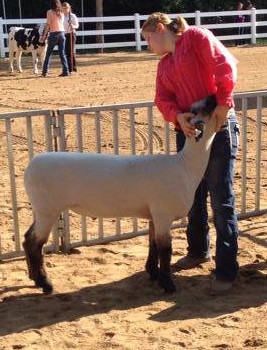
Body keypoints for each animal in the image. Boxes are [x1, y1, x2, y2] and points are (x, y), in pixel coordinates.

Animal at [22, 94, 217, 294]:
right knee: (35, 243)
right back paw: (45, 284)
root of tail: (30, 167)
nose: (213, 97)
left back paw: (35, 279)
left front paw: (153, 273)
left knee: (27, 238)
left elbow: (152, 243)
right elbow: (165, 250)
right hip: (47, 209)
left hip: (40, 210)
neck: (185, 165)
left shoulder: (153, 215)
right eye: (197, 110)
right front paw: (168, 284)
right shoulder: (163, 214)